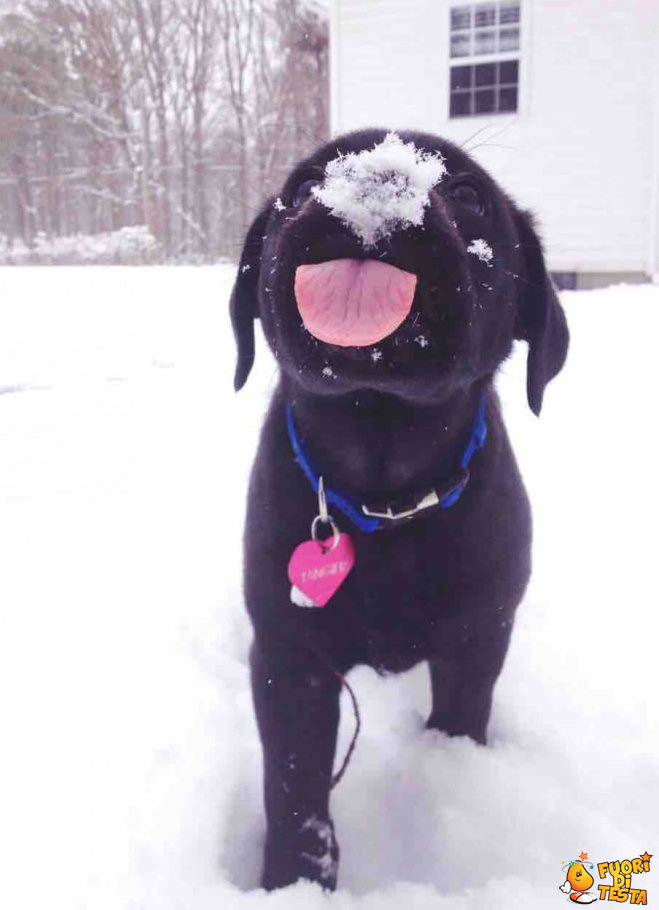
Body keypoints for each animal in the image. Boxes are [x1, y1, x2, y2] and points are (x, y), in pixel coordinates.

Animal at [229, 126, 568, 892]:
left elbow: (462, 718)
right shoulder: (290, 656)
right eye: (302, 186)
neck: (383, 498)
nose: (376, 174)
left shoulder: (478, 638)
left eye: (469, 193)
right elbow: (294, 787)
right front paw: (292, 883)